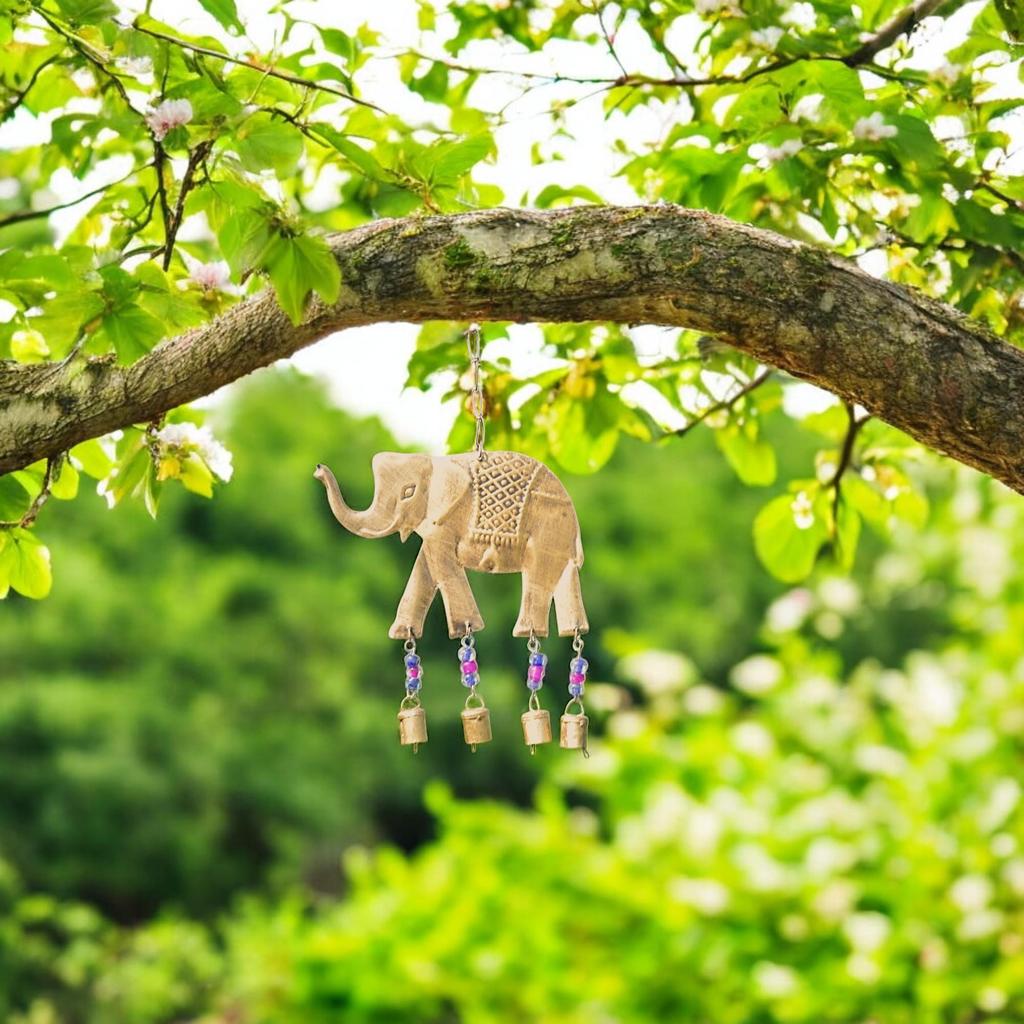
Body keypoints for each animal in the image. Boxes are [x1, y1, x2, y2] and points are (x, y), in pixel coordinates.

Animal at [314, 451, 589, 640]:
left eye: (408, 492)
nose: (318, 469)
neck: (433, 461)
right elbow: (424, 567)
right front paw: (403, 633)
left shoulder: (446, 517)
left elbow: (442, 565)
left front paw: (468, 629)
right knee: (564, 578)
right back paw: (572, 629)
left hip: (547, 527)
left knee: (538, 577)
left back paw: (527, 631)